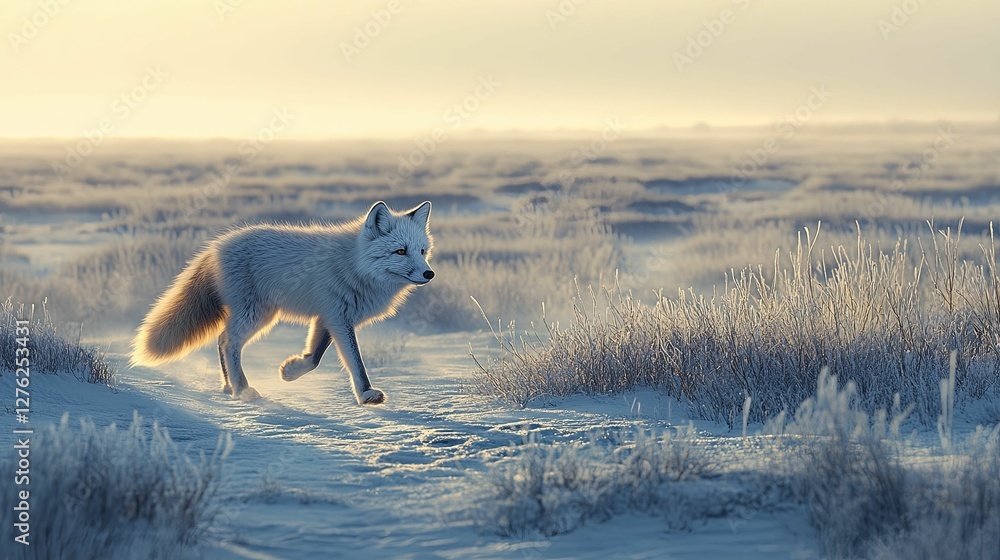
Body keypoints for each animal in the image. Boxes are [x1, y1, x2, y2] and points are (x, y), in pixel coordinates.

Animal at [131, 201, 434, 404]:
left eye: (422, 251)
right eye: (400, 251)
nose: (429, 274)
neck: (355, 264)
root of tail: (215, 247)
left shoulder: (328, 317)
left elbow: (314, 358)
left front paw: (290, 371)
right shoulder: (338, 317)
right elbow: (355, 362)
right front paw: (366, 394)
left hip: (261, 315)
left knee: (220, 339)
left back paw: (229, 387)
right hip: (256, 314)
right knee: (228, 342)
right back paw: (242, 389)